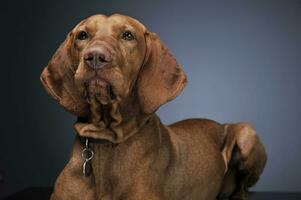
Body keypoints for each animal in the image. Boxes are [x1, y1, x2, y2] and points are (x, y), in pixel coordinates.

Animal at [40, 14, 268, 200]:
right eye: (83, 35)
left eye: (128, 35)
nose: (95, 57)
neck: (106, 140)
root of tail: (221, 123)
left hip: (246, 133)